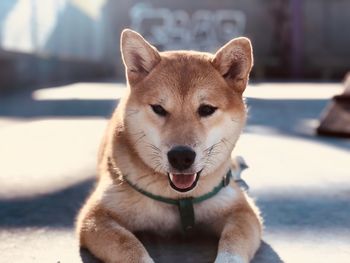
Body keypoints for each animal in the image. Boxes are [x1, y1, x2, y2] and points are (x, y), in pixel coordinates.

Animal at [77, 29, 262, 263]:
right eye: (158, 108)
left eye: (206, 109)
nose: (181, 156)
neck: (179, 199)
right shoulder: (95, 216)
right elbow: (129, 246)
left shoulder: (241, 211)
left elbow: (233, 243)